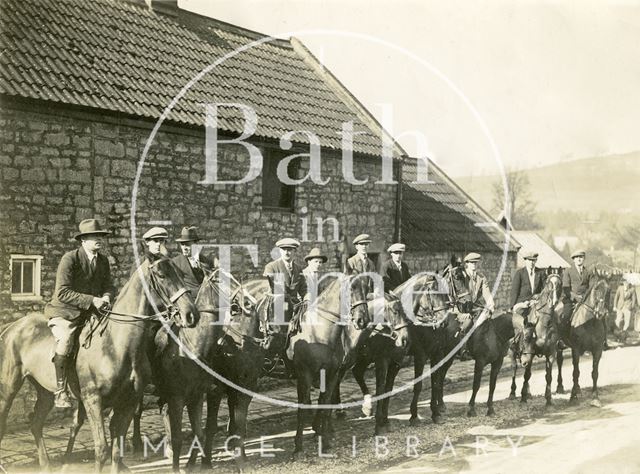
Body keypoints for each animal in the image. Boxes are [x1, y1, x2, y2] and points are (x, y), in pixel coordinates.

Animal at [0, 258, 196, 472]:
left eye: (180, 273)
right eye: (162, 275)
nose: (190, 314)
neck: (118, 344)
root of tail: (12, 326)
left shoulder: (128, 401)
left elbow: (117, 450)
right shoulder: (93, 400)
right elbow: (101, 449)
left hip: (45, 391)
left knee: (36, 424)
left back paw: (46, 466)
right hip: (10, 387)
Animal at [286, 276, 370, 458]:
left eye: (367, 288)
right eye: (351, 287)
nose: (363, 320)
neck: (319, 334)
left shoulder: (332, 374)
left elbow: (325, 404)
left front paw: (324, 442)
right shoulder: (305, 375)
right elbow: (302, 408)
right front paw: (298, 447)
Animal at [330, 294, 410, 436]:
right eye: (395, 311)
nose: (404, 339)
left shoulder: (396, 364)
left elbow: (388, 390)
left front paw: (385, 420)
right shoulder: (381, 361)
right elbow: (380, 389)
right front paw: (379, 424)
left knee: (354, 373)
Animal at [512, 272, 564, 406]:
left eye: (560, 284)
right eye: (548, 283)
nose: (554, 301)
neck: (544, 323)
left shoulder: (551, 353)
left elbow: (548, 376)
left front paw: (548, 399)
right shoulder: (529, 353)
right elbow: (527, 375)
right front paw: (523, 397)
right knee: (515, 366)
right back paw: (513, 393)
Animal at [556, 278, 608, 408]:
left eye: (607, 291)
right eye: (596, 290)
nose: (601, 313)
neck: (590, 322)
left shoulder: (597, 350)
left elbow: (595, 373)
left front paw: (595, 398)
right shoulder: (576, 349)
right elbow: (576, 372)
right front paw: (573, 397)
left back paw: (577, 389)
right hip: (558, 347)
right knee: (560, 362)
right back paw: (560, 387)